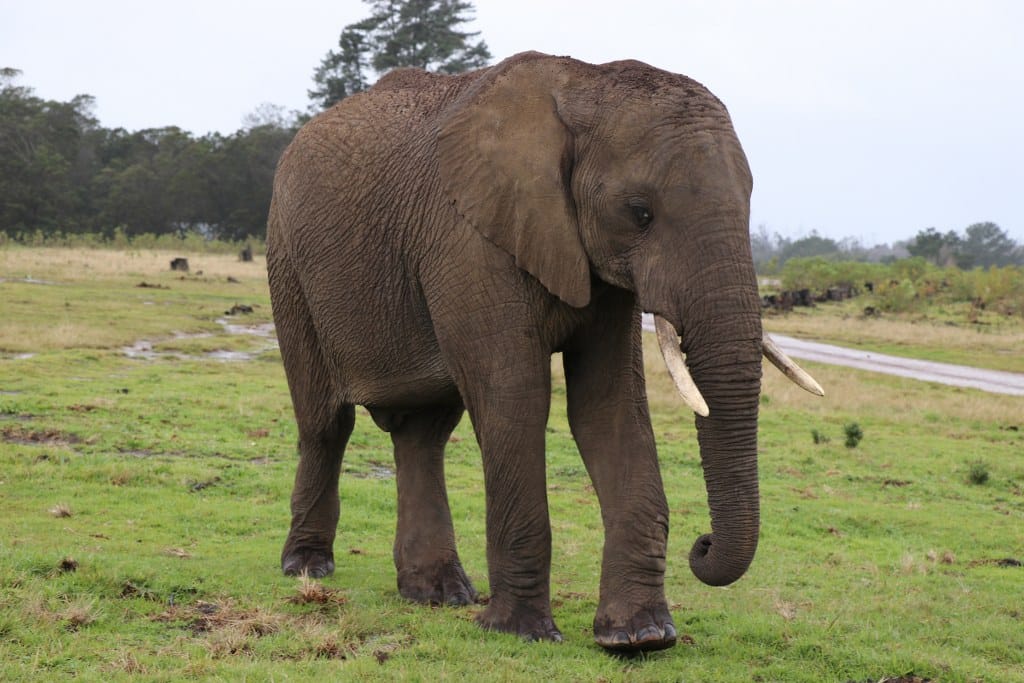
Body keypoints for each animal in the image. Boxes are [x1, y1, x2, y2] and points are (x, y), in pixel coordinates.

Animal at [266, 51, 822, 653]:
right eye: (640, 212)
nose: (702, 546)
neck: (586, 83)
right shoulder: (470, 238)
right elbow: (516, 399)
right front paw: (522, 633)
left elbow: (609, 409)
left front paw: (640, 637)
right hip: (287, 262)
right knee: (326, 423)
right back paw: (307, 569)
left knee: (423, 434)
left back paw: (438, 594)